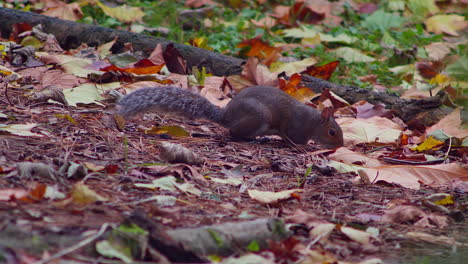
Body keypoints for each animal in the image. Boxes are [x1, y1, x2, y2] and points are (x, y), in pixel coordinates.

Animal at [117, 86, 344, 148]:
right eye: (332, 132)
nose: (340, 146)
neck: (313, 122)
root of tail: (227, 115)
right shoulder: (295, 128)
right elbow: (292, 139)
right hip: (258, 117)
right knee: (234, 133)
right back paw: (254, 139)